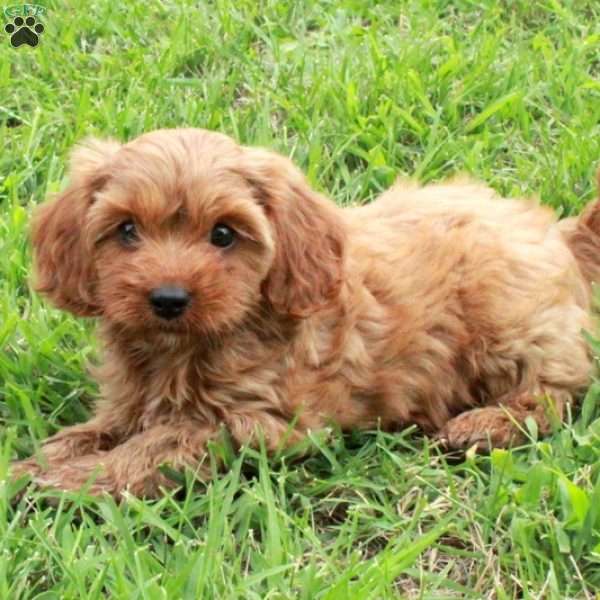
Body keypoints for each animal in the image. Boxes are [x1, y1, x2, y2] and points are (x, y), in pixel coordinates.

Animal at [12, 130, 600, 496]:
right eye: (127, 230)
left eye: (223, 234)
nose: (169, 299)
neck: (182, 350)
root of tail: (561, 233)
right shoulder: (128, 400)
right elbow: (101, 428)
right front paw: (43, 459)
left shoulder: (261, 419)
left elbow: (160, 442)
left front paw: (71, 481)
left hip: (509, 321)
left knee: (555, 390)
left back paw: (483, 424)